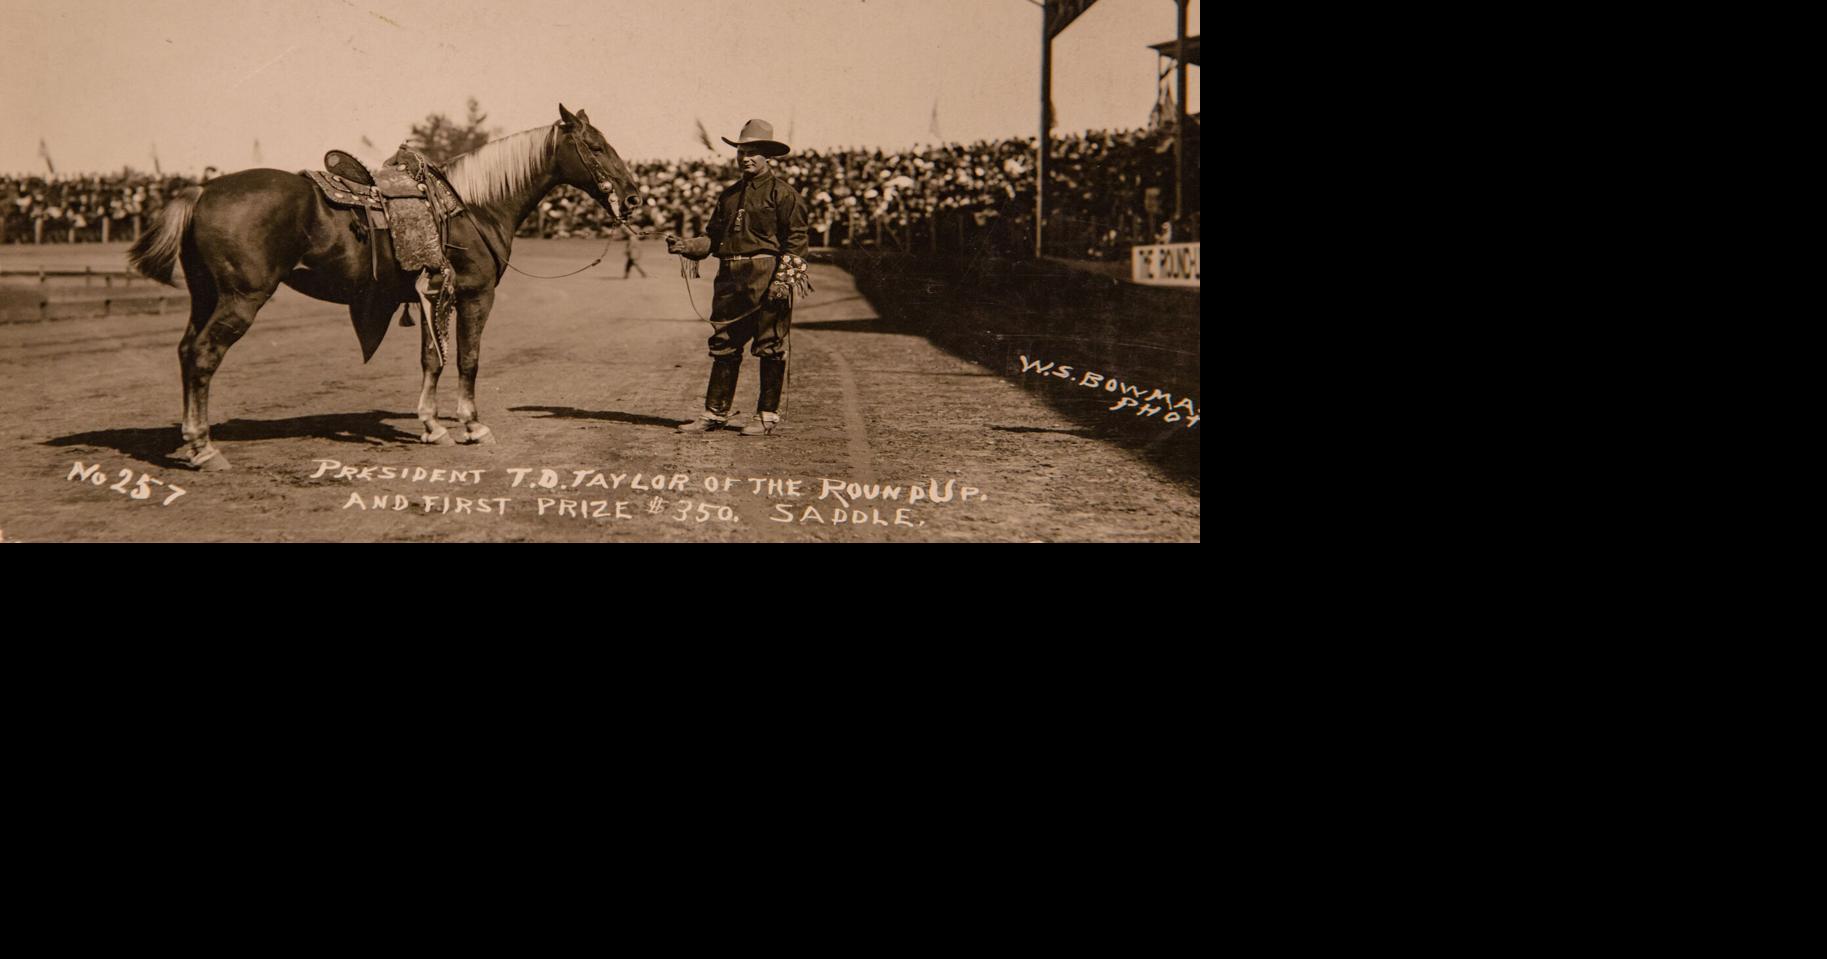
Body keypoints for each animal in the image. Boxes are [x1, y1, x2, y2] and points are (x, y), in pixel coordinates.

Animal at [128, 103, 643, 471]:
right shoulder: (475, 296)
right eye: (596, 146)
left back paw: (190, 439)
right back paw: (204, 449)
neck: (474, 207)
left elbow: (432, 360)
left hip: (205, 296)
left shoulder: (432, 295)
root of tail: (202, 191)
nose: (635, 196)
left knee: (186, 351)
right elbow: (468, 359)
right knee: (204, 356)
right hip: (241, 298)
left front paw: (433, 427)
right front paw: (472, 427)